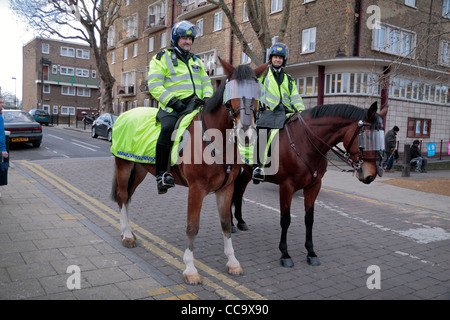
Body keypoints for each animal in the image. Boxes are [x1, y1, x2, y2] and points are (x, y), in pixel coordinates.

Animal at [110, 58, 268, 284]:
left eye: (258, 91)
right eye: (231, 92)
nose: (246, 133)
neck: (215, 138)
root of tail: (125, 114)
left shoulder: (226, 189)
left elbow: (226, 224)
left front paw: (232, 262)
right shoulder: (196, 189)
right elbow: (192, 227)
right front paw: (190, 268)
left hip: (139, 169)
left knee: (128, 197)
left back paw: (127, 232)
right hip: (123, 165)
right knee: (122, 196)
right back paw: (127, 235)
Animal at [232, 102, 386, 268]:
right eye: (367, 137)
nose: (371, 175)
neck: (305, 143)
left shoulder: (314, 186)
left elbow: (309, 219)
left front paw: (311, 252)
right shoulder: (286, 187)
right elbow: (285, 220)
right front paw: (285, 253)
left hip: (247, 172)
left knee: (239, 190)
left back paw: (240, 221)